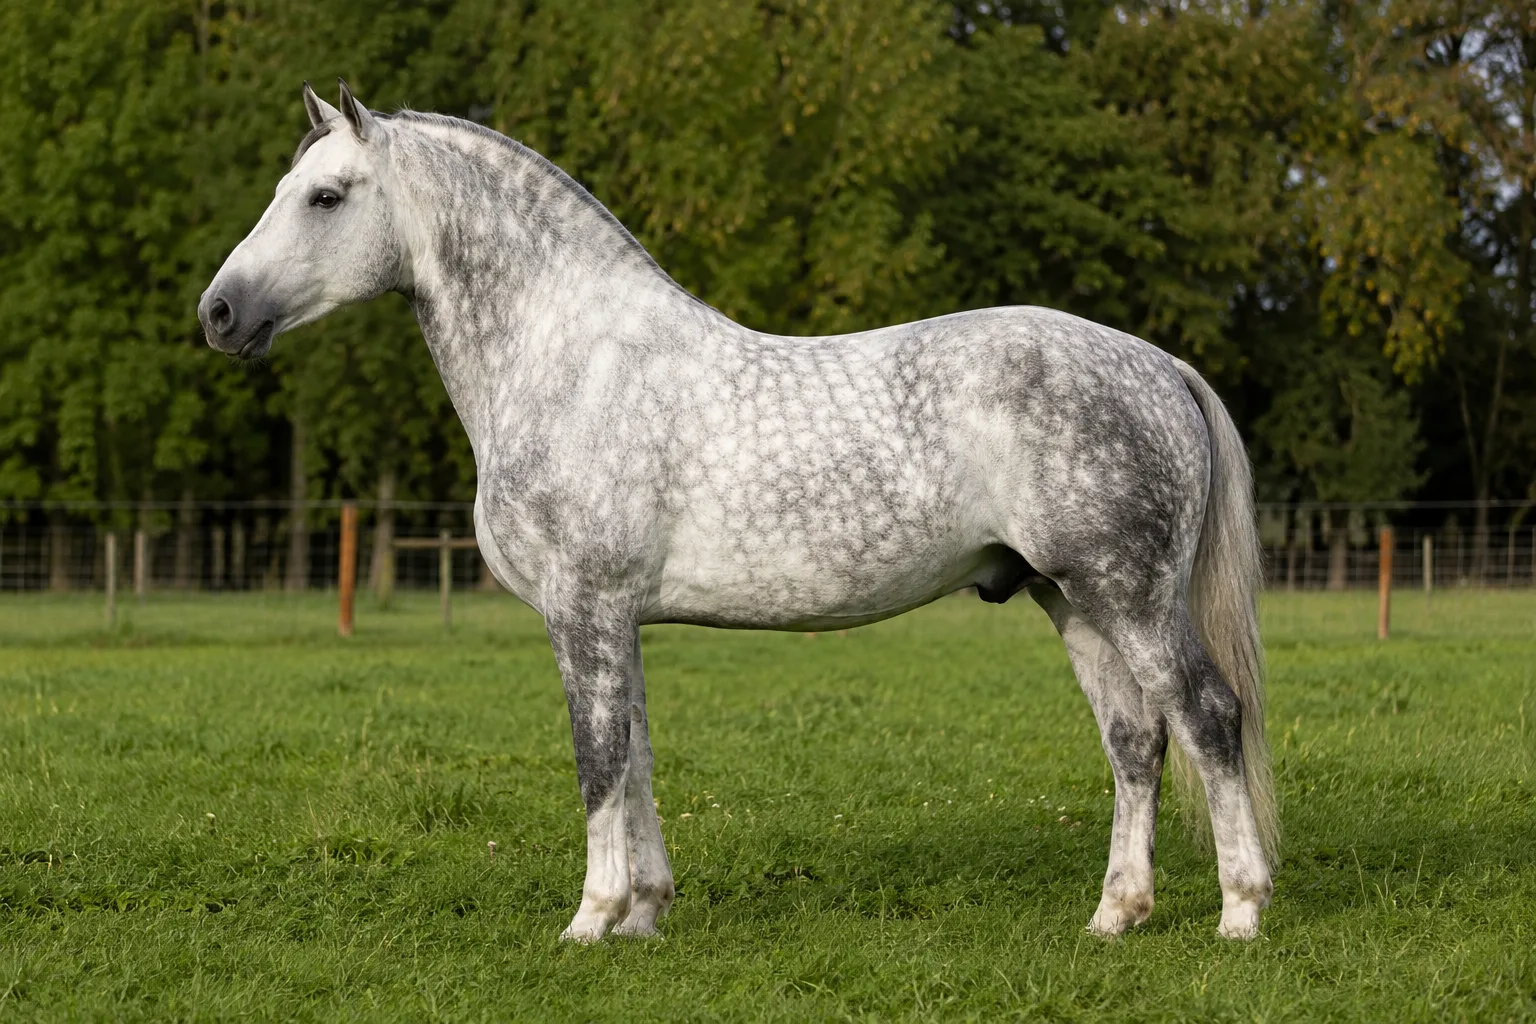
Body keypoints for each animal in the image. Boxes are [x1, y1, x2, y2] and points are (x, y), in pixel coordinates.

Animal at [199, 81, 1278, 943]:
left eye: (327, 195)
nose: (218, 313)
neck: (571, 361)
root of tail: (1156, 364)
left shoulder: (582, 611)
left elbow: (597, 760)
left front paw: (588, 921)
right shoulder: (616, 619)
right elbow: (634, 755)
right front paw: (643, 915)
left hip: (1129, 595)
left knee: (1208, 714)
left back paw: (1240, 911)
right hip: (1071, 597)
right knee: (1135, 739)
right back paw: (1116, 915)